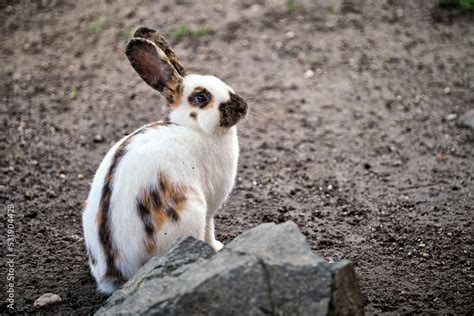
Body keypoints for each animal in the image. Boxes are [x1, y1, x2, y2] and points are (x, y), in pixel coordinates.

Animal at [80, 27, 248, 294]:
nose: (243, 106)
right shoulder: (210, 206)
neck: (192, 128)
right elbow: (210, 229)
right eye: (202, 98)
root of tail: (116, 271)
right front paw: (218, 248)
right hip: (191, 211)